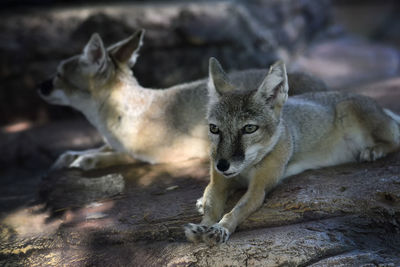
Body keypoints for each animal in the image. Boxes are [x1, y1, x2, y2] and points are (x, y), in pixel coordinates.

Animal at [37, 29, 326, 172]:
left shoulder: (174, 151)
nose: (39, 86)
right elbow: (99, 148)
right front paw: (73, 155)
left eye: (58, 75)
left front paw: (89, 160)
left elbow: (128, 156)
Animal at [184, 57, 400, 246]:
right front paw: (202, 226)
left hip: (348, 110)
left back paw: (373, 150)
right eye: (214, 129)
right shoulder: (219, 183)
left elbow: (235, 211)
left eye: (249, 128)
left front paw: (220, 228)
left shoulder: (258, 189)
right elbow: (211, 207)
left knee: (395, 139)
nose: (222, 165)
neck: (245, 169)